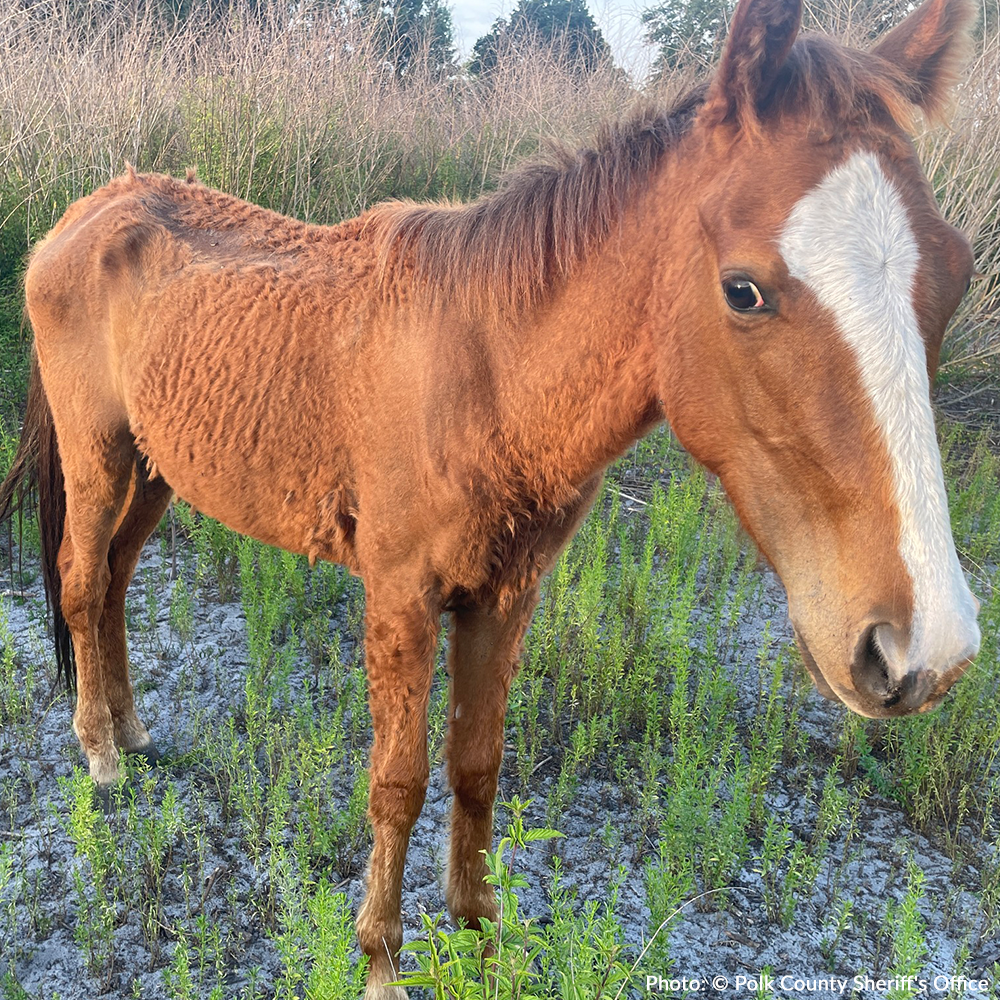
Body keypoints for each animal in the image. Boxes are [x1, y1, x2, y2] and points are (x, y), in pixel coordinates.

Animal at [0, 0, 983, 992]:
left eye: (959, 272)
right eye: (743, 290)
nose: (922, 649)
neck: (486, 373)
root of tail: (88, 213)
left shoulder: (505, 594)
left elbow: (477, 764)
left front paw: (478, 937)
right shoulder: (401, 599)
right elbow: (397, 783)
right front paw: (381, 958)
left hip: (158, 468)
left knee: (115, 584)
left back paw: (130, 729)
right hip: (99, 458)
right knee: (83, 583)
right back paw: (100, 755)